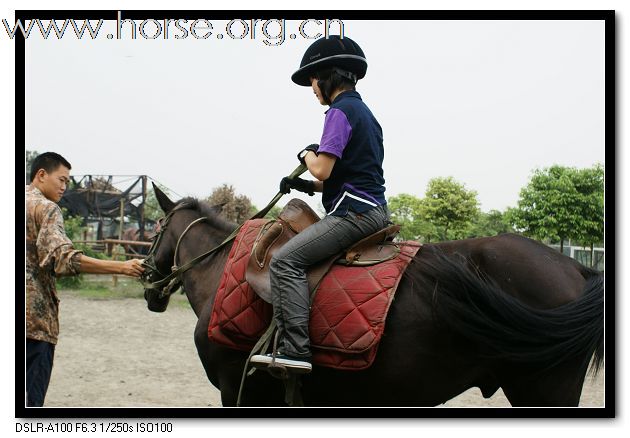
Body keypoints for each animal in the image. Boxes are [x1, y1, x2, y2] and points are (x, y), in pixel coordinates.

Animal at [143, 186, 608, 408]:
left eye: (154, 230)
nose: (148, 284)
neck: (220, 268)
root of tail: (578, 268)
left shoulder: (237, 389)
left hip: (545, 390)